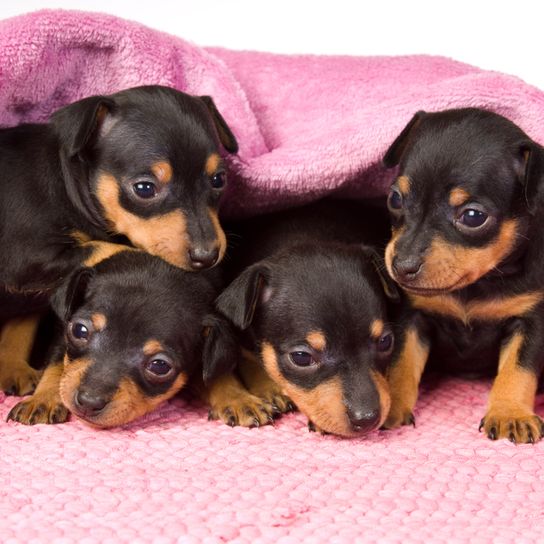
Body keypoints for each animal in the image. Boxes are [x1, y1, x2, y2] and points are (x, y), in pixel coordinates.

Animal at [0, 86, 238, 396]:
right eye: (145, 188)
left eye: (219, 179)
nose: (207, 256)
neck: (65, 184)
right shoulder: (24, 258)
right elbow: (106, 247)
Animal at [6, 249, 219, 428]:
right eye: (80, 331)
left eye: (160, 366)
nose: (89, 402)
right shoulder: (62, 330)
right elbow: (57, 362)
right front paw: (42, 400)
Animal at [380, 108, 544, 444]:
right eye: (395, 199)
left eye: (473, 216)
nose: (402, 266)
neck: (476, 285)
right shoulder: (411, 316)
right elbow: (401, 362)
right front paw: (392, 404)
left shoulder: (530, 319)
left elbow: (518, 369)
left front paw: (511, 414)